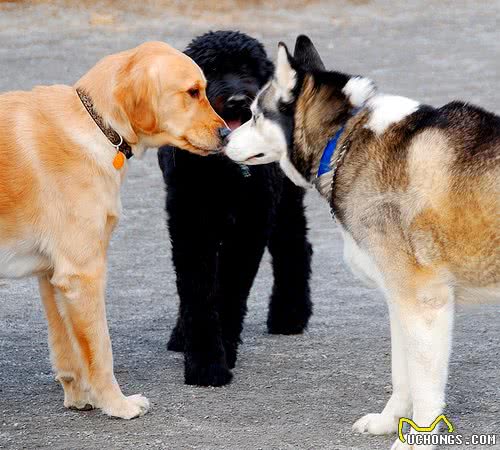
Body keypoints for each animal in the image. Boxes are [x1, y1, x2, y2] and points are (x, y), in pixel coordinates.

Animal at [0, 40, 228, 420]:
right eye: (192, 92)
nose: (227, 133)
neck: (95, 127)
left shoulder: (53, 276)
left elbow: (67, 350)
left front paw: (79, 397)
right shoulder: (83, 275)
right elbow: (101, 349)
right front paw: (118, 404)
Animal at [158, 29, 312, 384]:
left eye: (249, 68)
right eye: (212, 70)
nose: (238, 100)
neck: (224, 171)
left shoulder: (249, 227)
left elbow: (229, 290)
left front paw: (218, 355)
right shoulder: (190, 224)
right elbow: (198, 291)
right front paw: (205, 361)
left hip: (285, 205)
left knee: (295, 249)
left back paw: (289, 315)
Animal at [225, 33, 498, 448]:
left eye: (256, 115)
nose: (222, 136)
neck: (345, 136)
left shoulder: (424, 302)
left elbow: (425, 389)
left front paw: (413, 439)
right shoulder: (400, 302)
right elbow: (403, 376)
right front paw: (389, 422)